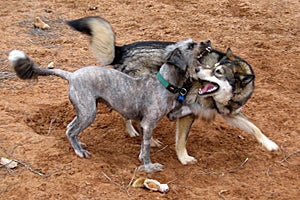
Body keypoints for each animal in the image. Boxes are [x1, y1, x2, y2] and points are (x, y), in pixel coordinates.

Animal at [8, 39, 210, 173]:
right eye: (191, 46)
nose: (207, 41)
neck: (164, 82)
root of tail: (72, 75)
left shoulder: (158, 119)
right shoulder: (148, 124)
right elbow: (145, 149)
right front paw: (149, 167)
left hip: (84, 111)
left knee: (69, 128)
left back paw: (78, 144)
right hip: (89, 112)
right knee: (71, 130)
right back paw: (80, 151)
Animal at [67, 16, 278, 165]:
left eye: (217, 72)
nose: (198, 72)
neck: (223, 99)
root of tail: (123, 49)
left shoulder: (230, 114)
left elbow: (254, 127)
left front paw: (269, 144)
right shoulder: (188, 113)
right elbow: (181, 140)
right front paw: (184, 158)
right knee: (132, 117)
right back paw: (142, 135)